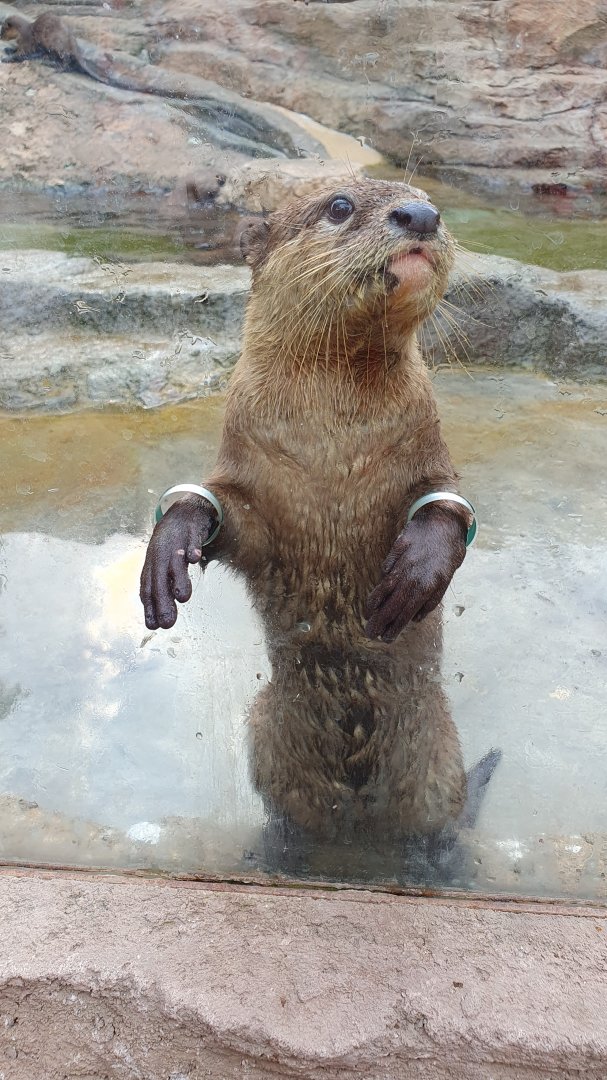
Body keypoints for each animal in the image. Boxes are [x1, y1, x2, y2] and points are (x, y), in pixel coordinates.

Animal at [140, 178, 498, 854]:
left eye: (426, 197)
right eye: (339, 206)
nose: (422, 215)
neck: (333, 446)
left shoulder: (426, 452)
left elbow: (444, 502)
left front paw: (416, 571)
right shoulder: (258, 487)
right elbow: (225, 511)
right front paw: (169, 550)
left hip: (437, 752)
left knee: (439, 822)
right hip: (267, 733)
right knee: (288, 811)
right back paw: (278, 850)